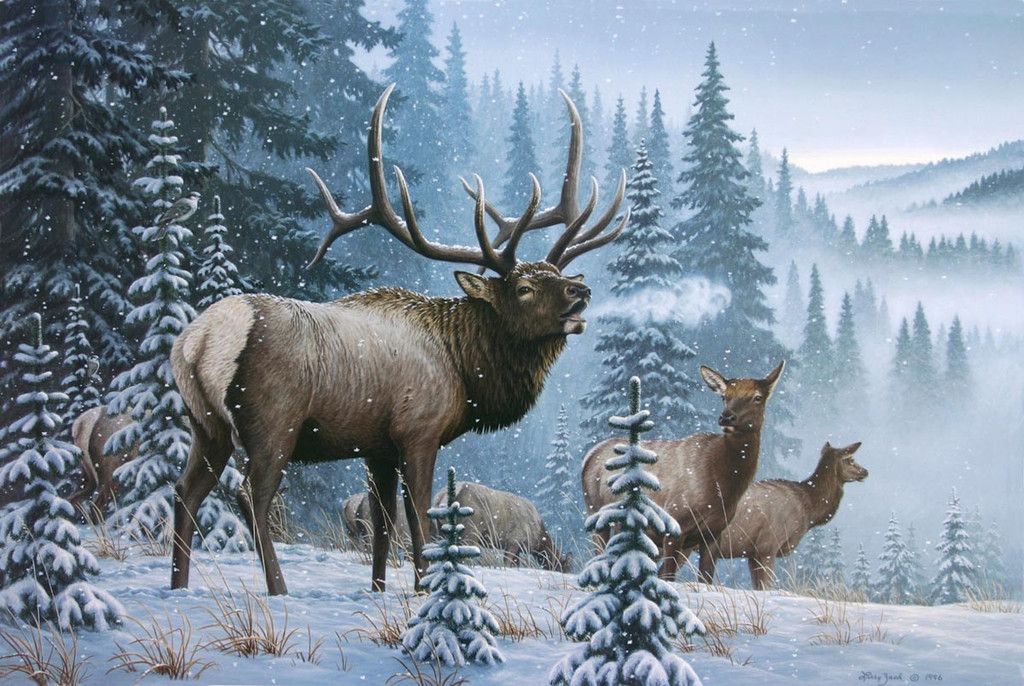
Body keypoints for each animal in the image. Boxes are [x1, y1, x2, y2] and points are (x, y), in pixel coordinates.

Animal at [433, 482, 572, 572]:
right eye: (565, 567)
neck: (537, 538)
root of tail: (441, 497)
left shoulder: (518, 548)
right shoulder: (514, 541)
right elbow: (507, 563)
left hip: (438, 529)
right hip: (470, 530)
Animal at [582, 362, 785, 582]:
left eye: (757, 397)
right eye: (724, 396)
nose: (726, 417)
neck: (721, 485)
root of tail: (589, 456)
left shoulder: (714, 533)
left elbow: (705, 579)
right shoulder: (674, 523)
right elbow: (669, 577)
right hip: (596, 513)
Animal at [700, 441, 868, 589]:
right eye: (850, 460)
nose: (866, 471)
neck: (808, 509)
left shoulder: (752, 553)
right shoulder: (767, 546)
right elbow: (766, 587)